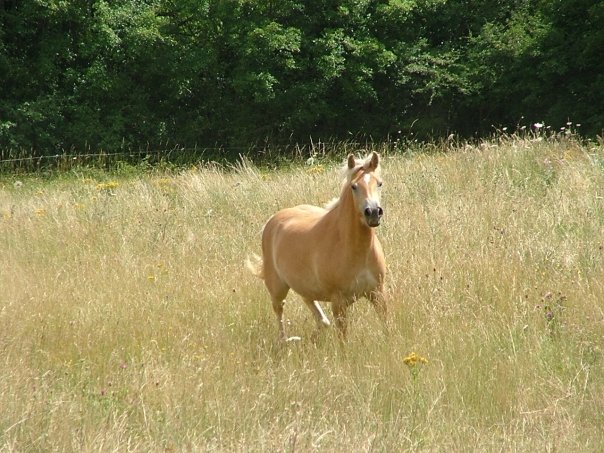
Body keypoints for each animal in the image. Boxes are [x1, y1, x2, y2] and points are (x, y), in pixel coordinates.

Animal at [249, 152, 386, 340]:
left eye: (379, 183)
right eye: (354, 186)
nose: (373, 212)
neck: (357, 250)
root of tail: (273, 220)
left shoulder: (378, 293)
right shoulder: (338, 302)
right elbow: (343, 338)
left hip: (304, 287)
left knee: (320, 317)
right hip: (277, 288)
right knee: (279, 311)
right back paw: (286, 340)